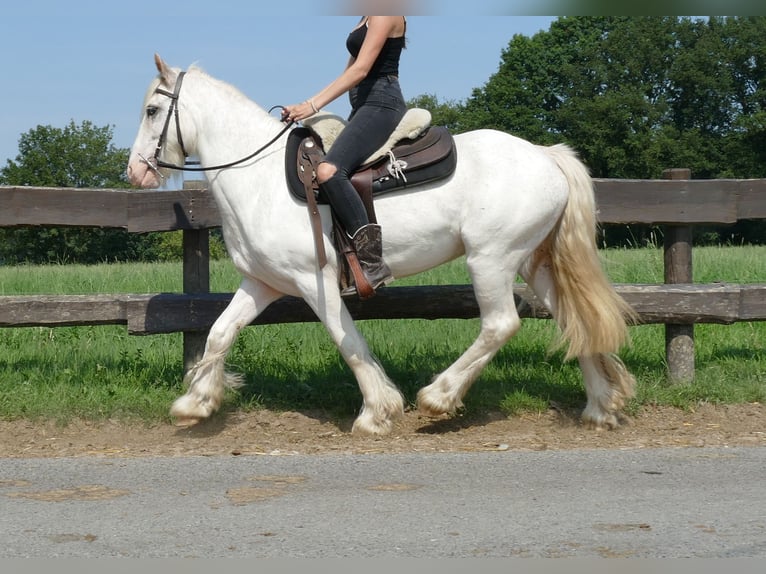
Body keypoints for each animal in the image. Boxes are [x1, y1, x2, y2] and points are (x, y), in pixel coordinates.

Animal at [129, 55, 640, 436]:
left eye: (152, 110)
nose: (135, 171)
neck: (258, 177)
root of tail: (546, 155)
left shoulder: (312, 281)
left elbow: (348, 341)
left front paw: (377, 411)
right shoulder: (262, 282)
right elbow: (219, 332)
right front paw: (195, 403)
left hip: (490, 260)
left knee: (500, 325)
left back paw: (438, 397)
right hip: (532, 262)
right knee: (574, 319)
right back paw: (600, 407)